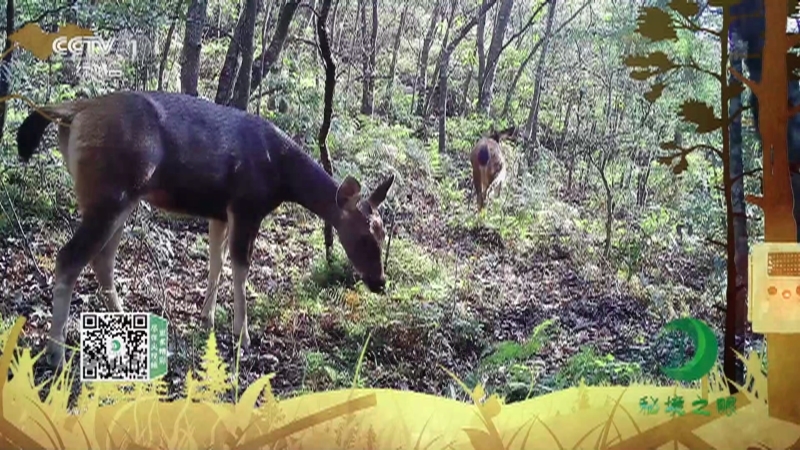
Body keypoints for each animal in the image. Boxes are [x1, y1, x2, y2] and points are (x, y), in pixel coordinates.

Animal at [15, 90, 396, 368]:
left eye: (382, 233)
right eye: (364, 236)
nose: (380, 281)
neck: (281, 177)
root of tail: (75, 112)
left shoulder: (220, 211)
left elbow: (216, 262)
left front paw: (206, 318)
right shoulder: (246, 205)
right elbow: (240, 268)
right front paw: (243, 335)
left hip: (120, 200)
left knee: (102, 260)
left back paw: (125, 320)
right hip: (110, 193)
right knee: (69, 258)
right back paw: (55, 353)